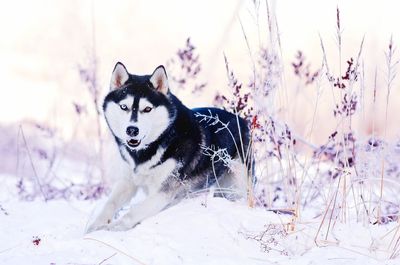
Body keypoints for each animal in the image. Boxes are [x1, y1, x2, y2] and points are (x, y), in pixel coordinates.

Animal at [86, 62, 250, 231]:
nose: (132, 130)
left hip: (236, 186)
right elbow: (110, 204)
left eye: (147, 109)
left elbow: (133, 213)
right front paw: (94, 227)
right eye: (124, 107)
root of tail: (241, 120)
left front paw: (115, 227)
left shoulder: (162, 191)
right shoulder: (127, 181)